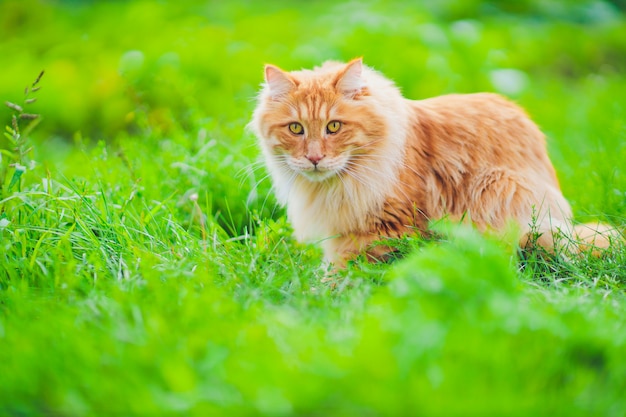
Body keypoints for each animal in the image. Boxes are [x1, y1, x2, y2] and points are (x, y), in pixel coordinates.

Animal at [250, 57, 616, 266]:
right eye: (295, 129)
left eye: (334, 127)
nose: (314, 157)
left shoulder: (383, 227)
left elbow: (348, 271)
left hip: (496, 192)